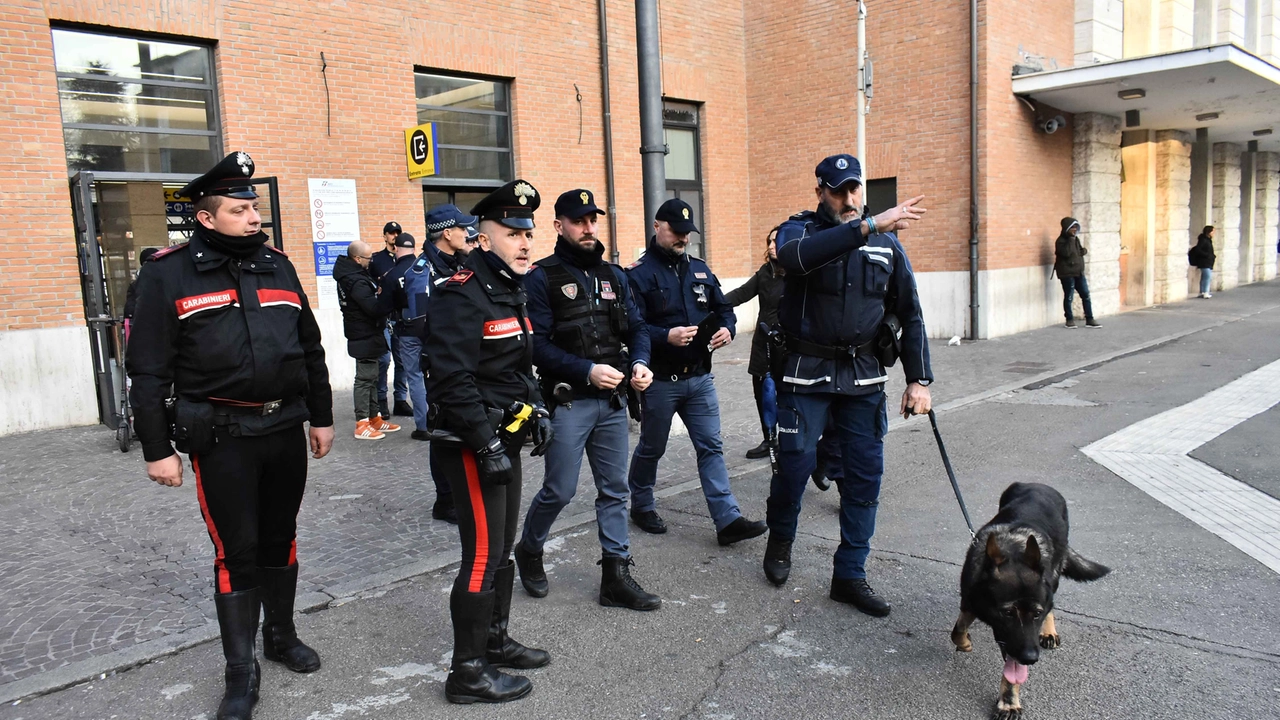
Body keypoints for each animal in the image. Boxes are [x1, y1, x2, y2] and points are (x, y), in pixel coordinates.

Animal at [952, 479, 1111, 712]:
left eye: (1036, 614)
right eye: (1007, 613)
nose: (1031, 658)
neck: (1013, 549)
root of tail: (1038, 484)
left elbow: (1013, 672)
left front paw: (1009, 701)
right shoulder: (969, 601)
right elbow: (958, 629)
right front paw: (964, 642)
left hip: (1054, 575)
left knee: (1052, 602)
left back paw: (1049, 631)